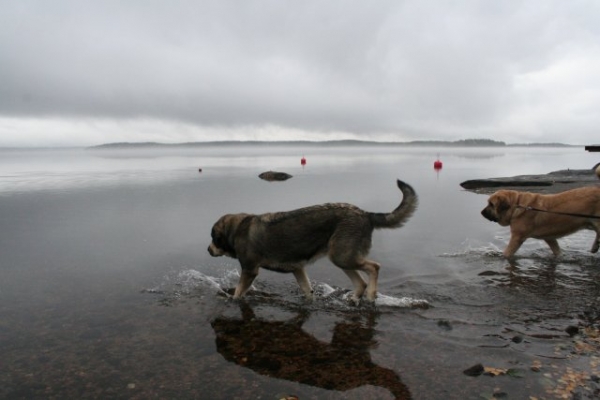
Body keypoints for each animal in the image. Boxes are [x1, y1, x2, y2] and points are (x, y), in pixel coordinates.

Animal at [206, 180, 418, 302]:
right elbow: (308, 291)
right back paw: (354, 299)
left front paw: (232, 299)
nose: (208, 250)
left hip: (342, 256)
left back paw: (372, 296)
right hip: (342, 257)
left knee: (374, 267)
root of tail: (366, 214)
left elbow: (238, 292)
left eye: (214, 237)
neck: (236, 230)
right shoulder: (298, 269)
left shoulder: (250, 270)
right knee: (360, 283)